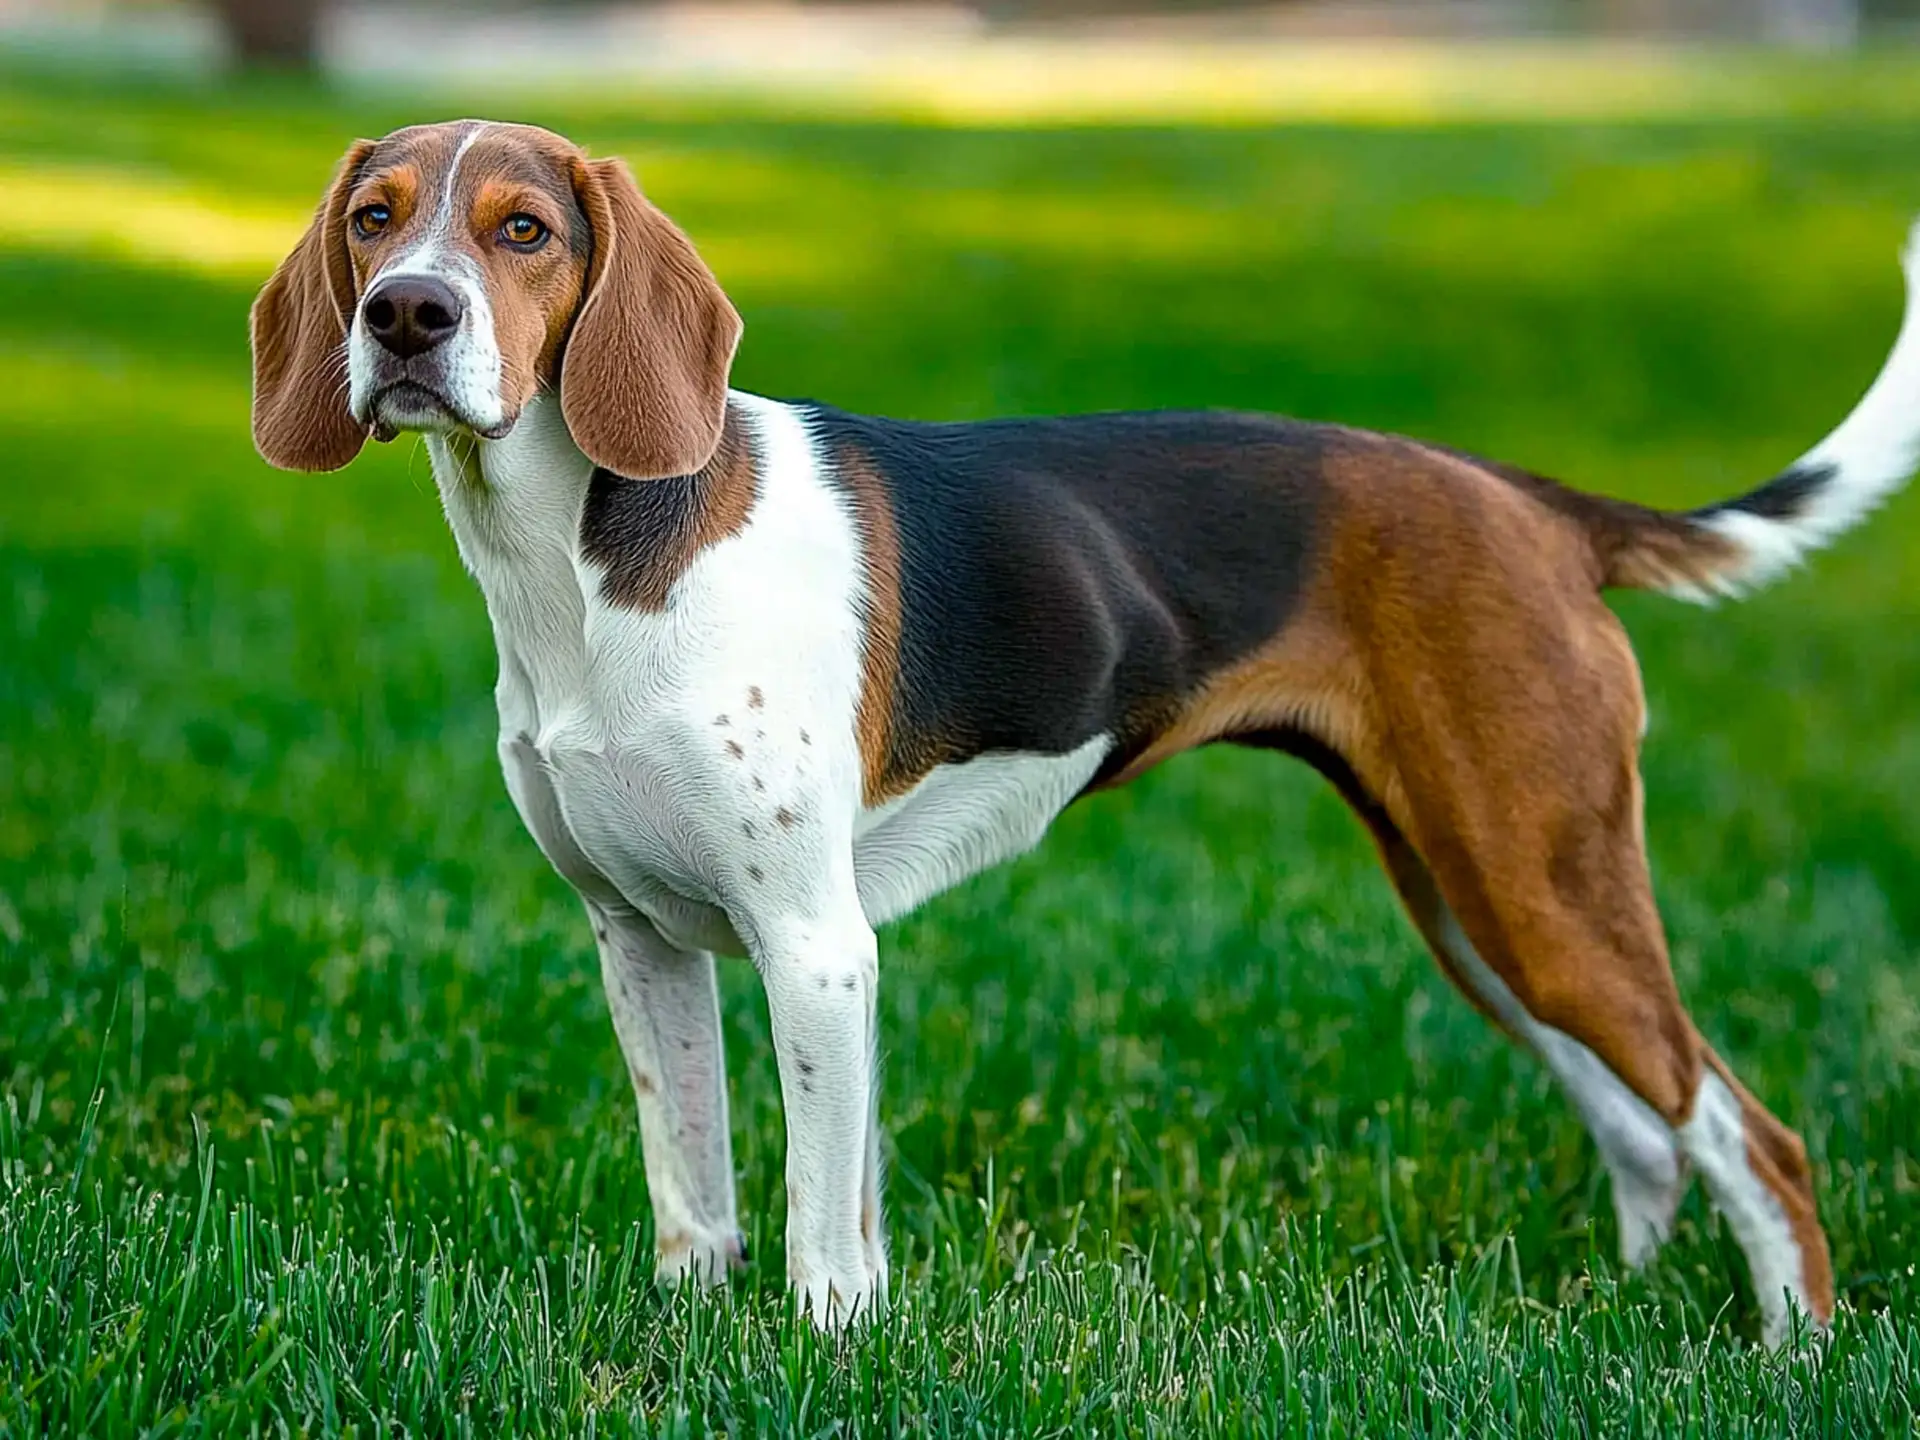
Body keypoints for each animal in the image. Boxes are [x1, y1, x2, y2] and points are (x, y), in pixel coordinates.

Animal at [251, 118, 1920, 1351]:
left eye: (524, 230)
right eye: (373, 219)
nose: (407, 317)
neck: (579, 570)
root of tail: (1529, 504)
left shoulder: (817, 947)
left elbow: (821, 1232)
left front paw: (830, 1353)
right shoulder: (642, 941)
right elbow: (702, 1201)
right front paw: (689, 1330)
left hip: (1536, 889)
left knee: (1750, 1138)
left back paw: (1794, 1354)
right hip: (1479, 904)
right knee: (1651, 1133)